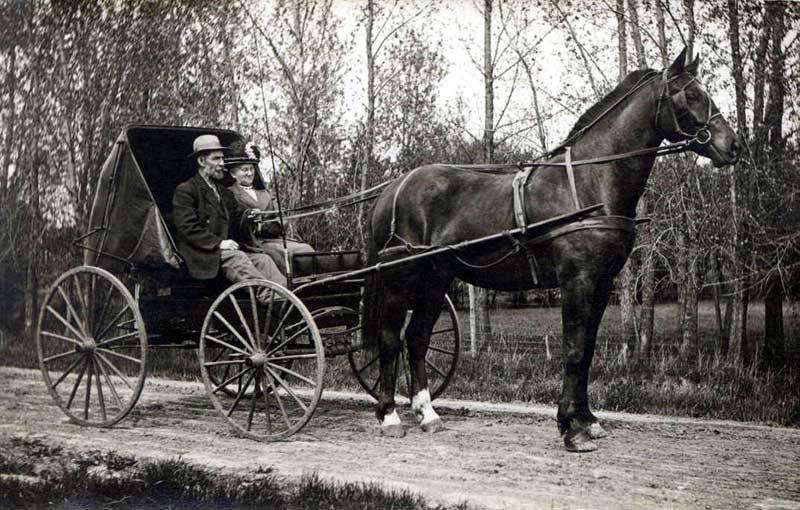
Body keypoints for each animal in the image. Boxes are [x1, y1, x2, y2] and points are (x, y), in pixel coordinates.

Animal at [363, 47, 739, 452]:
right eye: (691, 94)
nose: (732, 145)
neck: (590, 184)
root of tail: (393, 188)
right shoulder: (577, 280)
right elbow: (573, 350)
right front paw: (570, 429)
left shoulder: (602, 283)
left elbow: (587, 350)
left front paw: (587, 421)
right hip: (400, 281)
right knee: (391, 339)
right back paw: (389, 416)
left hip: (436, 281)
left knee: (417, 338)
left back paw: (428, 414)